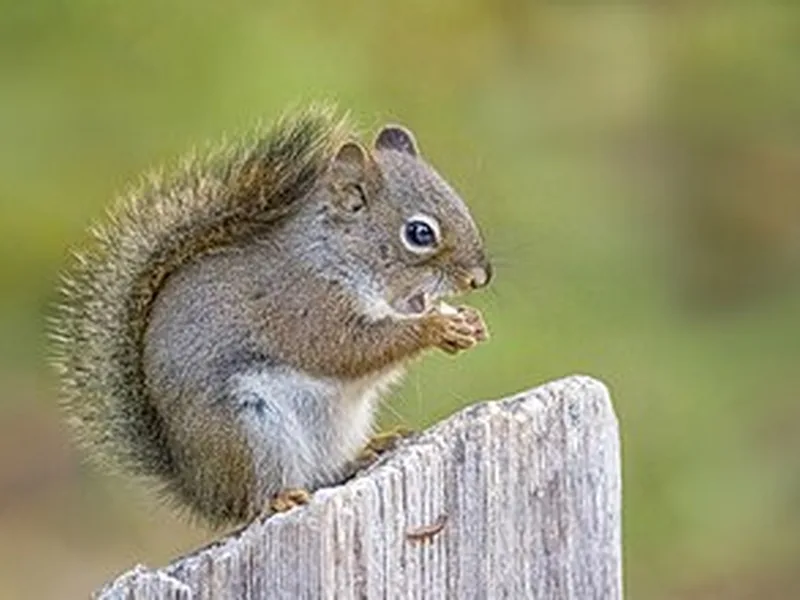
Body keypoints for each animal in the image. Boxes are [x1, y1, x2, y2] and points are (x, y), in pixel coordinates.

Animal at [50, 105, 492, 528]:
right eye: (420, 233)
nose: (481, 277)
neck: (337, 256)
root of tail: (202, 489)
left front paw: (469, 323)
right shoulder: (302, 308)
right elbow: (350, 350)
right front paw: (437, 327)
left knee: (324, 473)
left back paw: (369, 449)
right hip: (248, 431)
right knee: (253, 500)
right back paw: (278, 498)